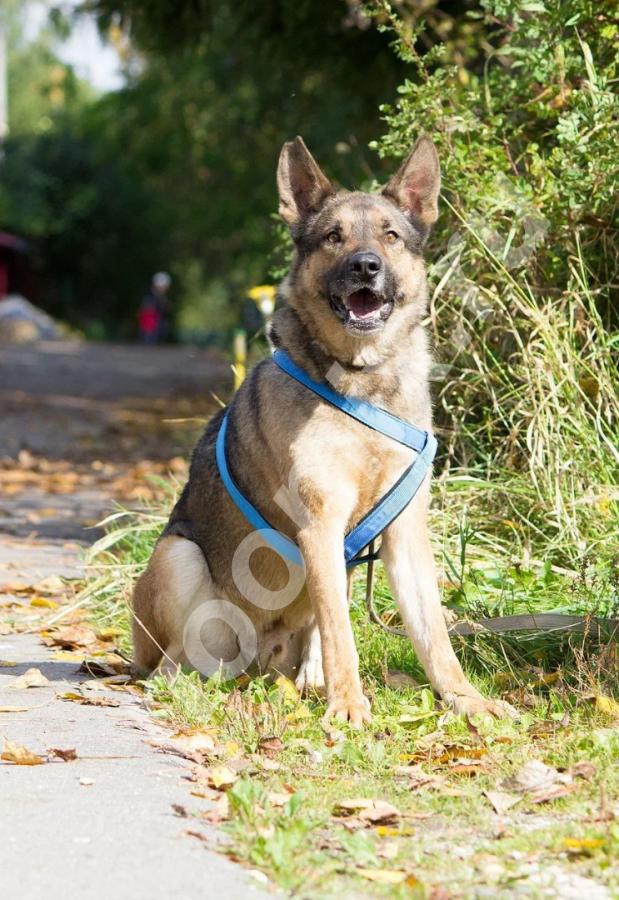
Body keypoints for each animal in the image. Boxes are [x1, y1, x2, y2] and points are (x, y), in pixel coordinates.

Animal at [134, 134, 512, 724]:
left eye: (390, 235)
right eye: (334, 236)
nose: (365, 266)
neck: (360, 382)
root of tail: (258, 664)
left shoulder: (405, 532)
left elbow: (432, 633)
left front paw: (465, 700)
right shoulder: (320, 525)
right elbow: (342, 633)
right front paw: (349, 707)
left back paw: (308, 681)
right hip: (178, 559)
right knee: (175, 660)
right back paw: (189, 685)